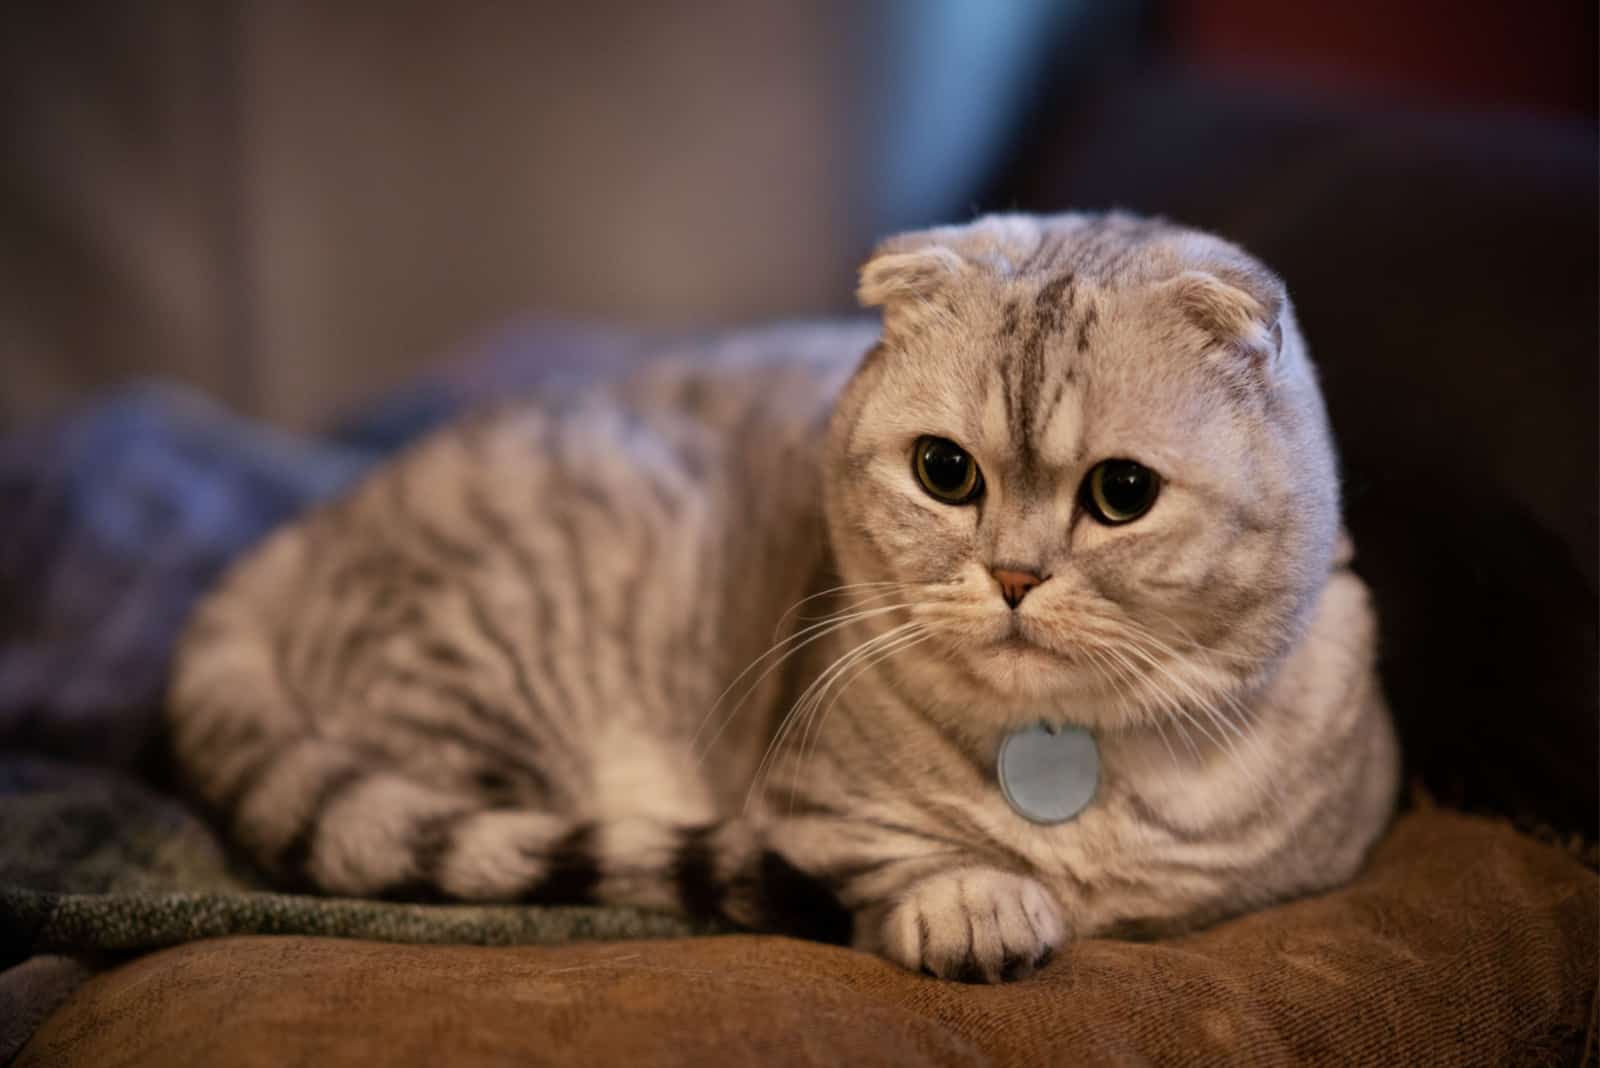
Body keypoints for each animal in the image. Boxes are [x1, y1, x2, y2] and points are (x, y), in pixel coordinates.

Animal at [165, 214, 1401, 984]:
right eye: (944, 473)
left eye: (1123, 494)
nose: (1011, 577)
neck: (1065, 766)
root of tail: (303, 532)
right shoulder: (808, 815)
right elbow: (907, 867)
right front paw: (981, 907)